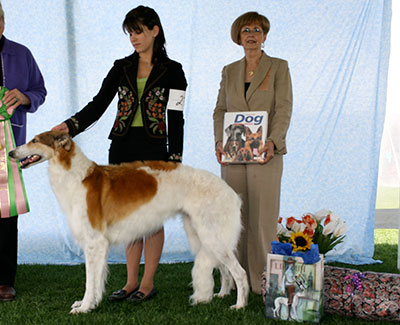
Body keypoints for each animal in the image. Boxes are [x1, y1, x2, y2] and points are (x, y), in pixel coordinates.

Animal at [8, 130, 247, 312]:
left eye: (35, 140)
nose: (10, 152)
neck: (76, 176)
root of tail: (231, 192)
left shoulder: (94, 242)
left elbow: (89, 281)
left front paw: (84, 308)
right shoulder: (97, 245)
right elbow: (96, 281)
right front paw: (90, 303)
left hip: (211, 235)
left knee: (240, 273)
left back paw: (239, 305)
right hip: (202, 236)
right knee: (225, 271)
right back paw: (222, 294)